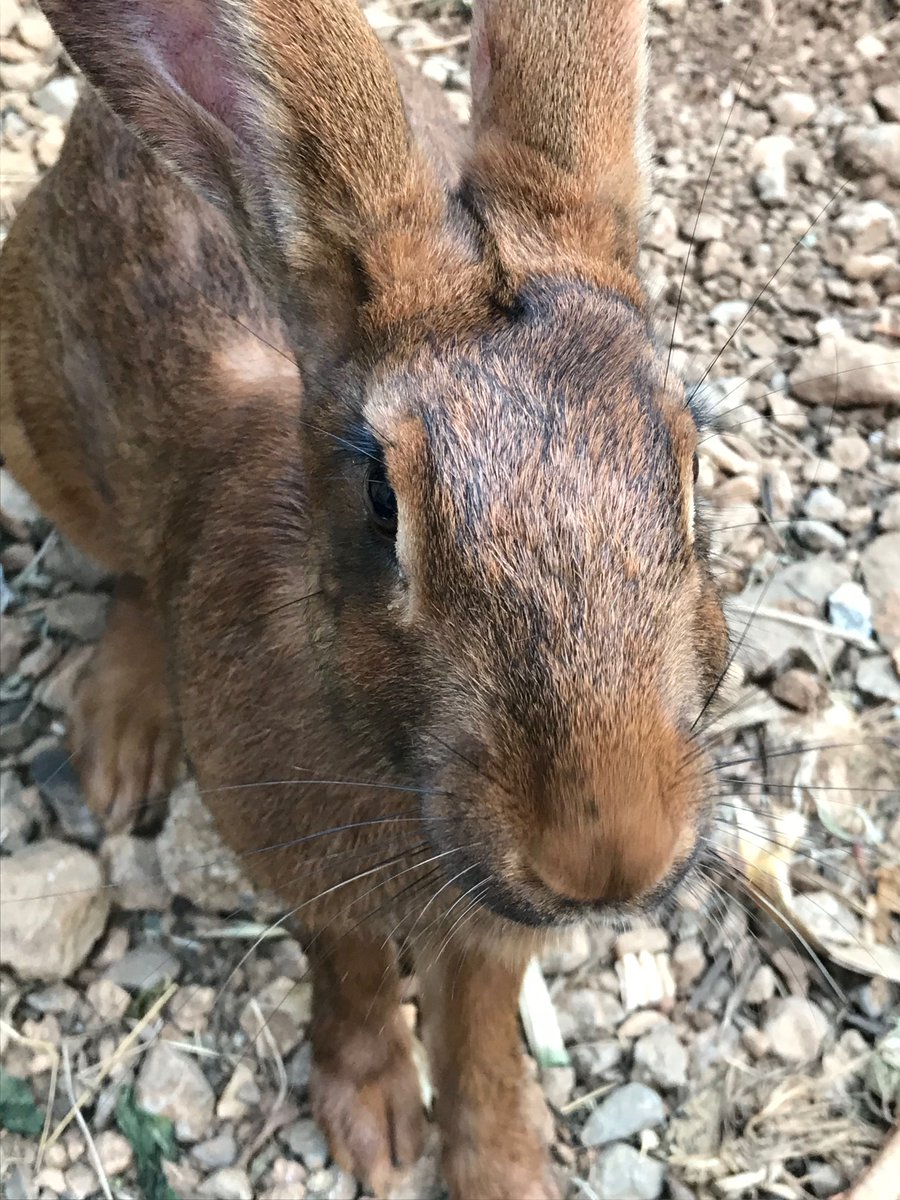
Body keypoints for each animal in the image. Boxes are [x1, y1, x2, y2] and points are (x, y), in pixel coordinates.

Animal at [0, 1, 728, 1196]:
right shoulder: (305, 870)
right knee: (133, 574)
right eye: (384, 502)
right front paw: (378, 1126)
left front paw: (503, 1165)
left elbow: (480, 1026)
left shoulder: (491, 928)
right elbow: (347, 967)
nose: (605, 854)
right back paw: (122, 743)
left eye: (686, 457)